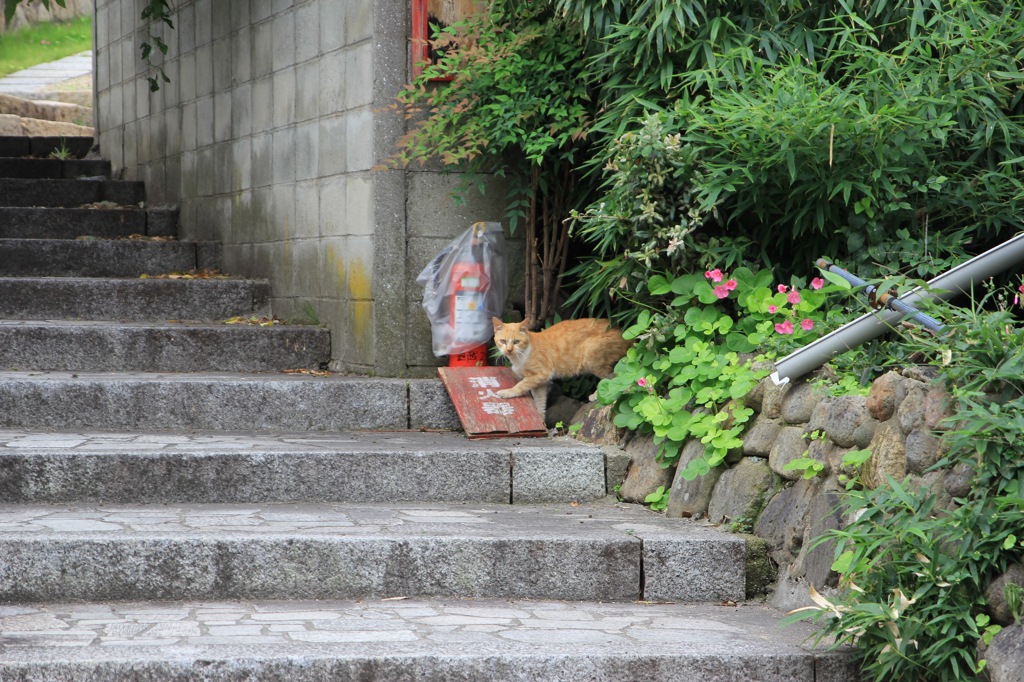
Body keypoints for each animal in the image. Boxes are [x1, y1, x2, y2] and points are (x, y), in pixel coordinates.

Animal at [489, 315, 626, 417]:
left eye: (516, 341)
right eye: (503, 341)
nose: (509, 350)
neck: (519, 356)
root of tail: (621, 330)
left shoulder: (540, 374)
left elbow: (520, 386)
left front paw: (507, 392)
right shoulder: (540, 382)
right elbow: (540, 402)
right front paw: (541, 419)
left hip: (591, 358)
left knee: (611, 376)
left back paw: (597, 395)